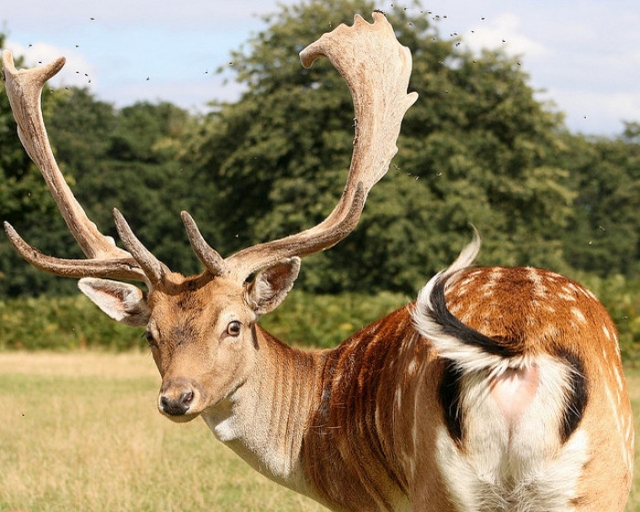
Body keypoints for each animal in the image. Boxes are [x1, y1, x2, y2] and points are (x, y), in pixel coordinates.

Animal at [1, 11, 636, 512]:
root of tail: (518, 352)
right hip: (602, 480)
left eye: (235, 325)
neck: (313, 435)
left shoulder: (364, 501)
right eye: (149, 334)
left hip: (443, 486)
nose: (176, 397)